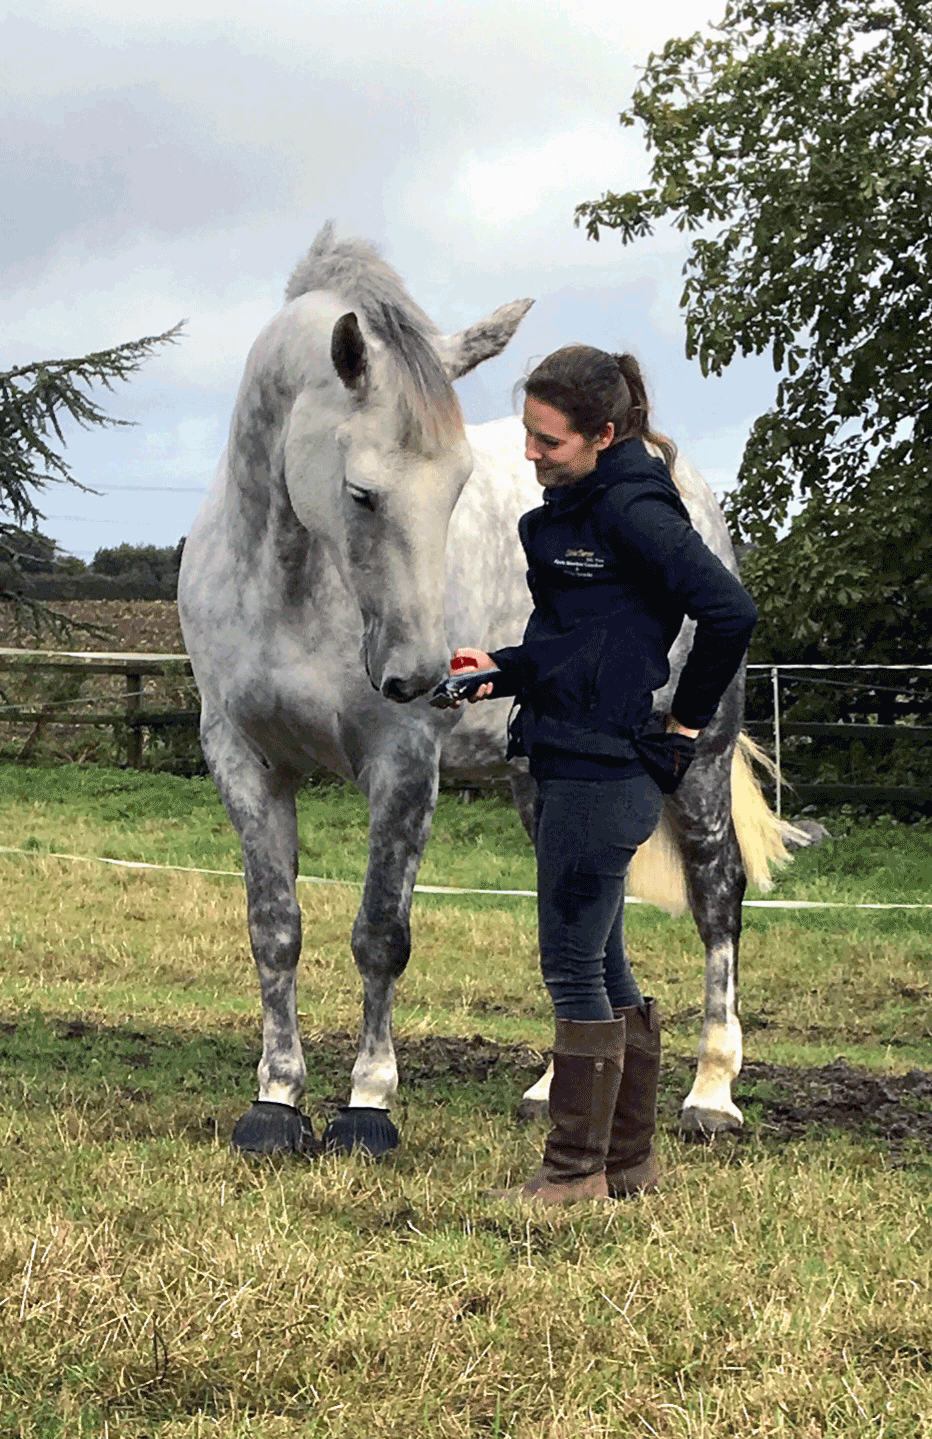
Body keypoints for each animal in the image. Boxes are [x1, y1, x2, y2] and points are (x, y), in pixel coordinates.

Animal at [178, 222, 797, 1159]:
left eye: (459, 486)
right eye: (362, 491)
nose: (418, 675)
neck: (287, 580)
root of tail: (677, 477)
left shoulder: (402, 764)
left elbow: (381, 935)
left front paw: (368, 1105)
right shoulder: (244, 758)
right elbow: (274, 929)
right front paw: (277, 1101)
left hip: (700, 757)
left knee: (718, 894)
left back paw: (712, 1092)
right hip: (546, 777)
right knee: (590, 910)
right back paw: (553, 1087)